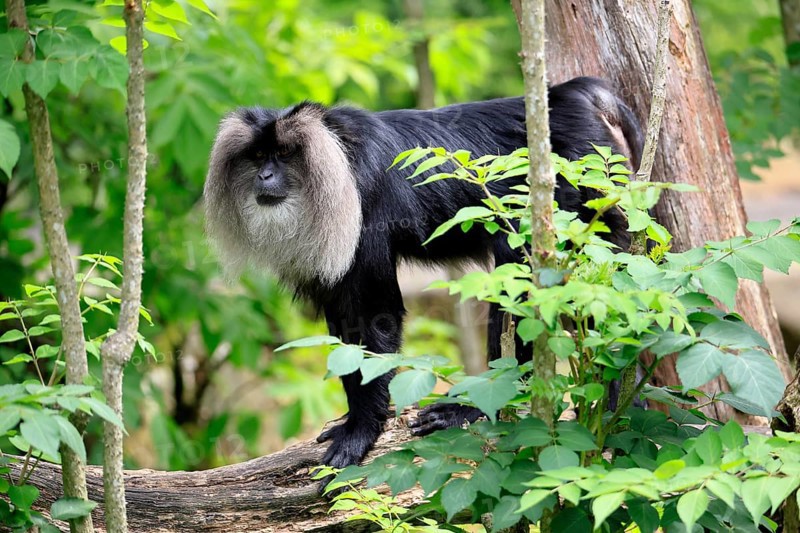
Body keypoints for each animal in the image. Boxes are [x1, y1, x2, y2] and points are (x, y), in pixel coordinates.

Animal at [204, 76, 644, 475]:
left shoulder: (366, 210)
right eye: (258, 155)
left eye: (283, 153)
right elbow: (347, 328)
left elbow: (375, 317)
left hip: (577, 194)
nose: (264, 177)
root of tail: (577, 94)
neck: (336, 158)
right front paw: (353, 421)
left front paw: (361, 431)